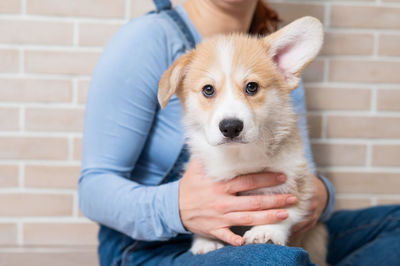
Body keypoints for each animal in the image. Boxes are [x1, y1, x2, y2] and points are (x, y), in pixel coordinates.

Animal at [158, 16, 326, 264]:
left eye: (252, 87)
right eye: (208, 90)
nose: (230, 127)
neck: (239, 156)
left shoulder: (294, 173)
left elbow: (287, 207)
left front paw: (266, 231)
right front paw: (206, 241)